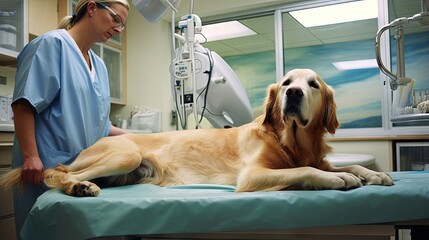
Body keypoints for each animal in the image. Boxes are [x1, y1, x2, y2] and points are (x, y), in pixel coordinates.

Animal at [0, 68, 394, 196]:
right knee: (57, 174)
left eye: (312, 85)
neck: (290, 140)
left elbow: (340, 164)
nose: (293, 94)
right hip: (124, 152)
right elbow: (308, 171)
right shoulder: (253, 175)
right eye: (286, 83)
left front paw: (373, 173)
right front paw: (339, 179)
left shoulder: (314, 154)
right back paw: (78, 186)